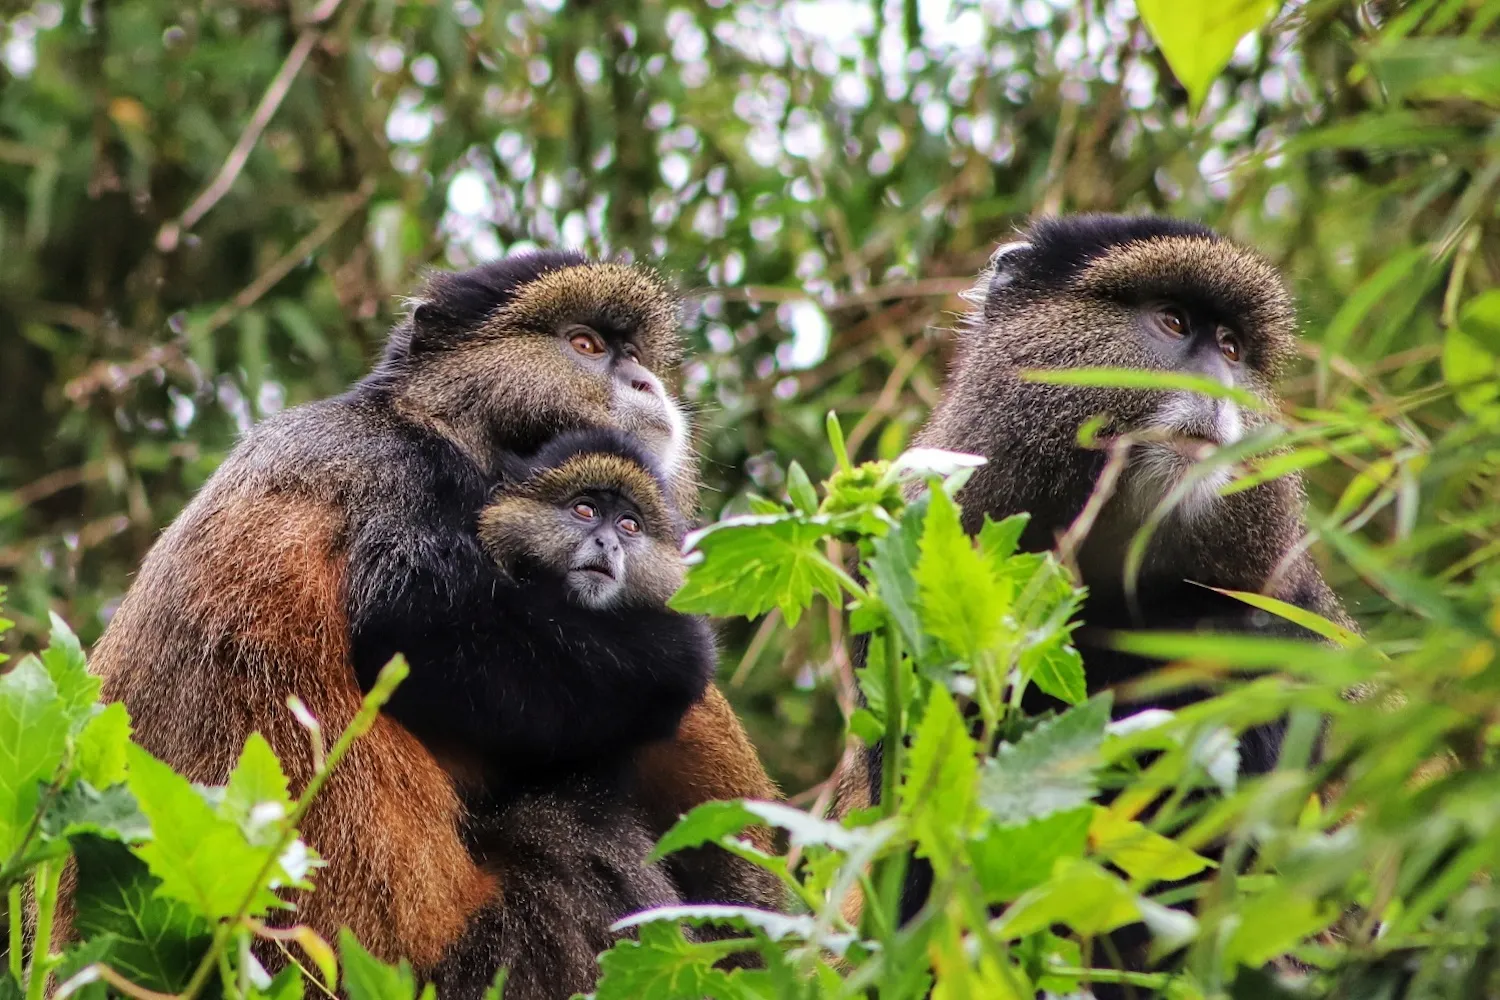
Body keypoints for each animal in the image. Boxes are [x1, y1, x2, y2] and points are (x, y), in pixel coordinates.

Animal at [73, 251, 780, 991]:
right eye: (586, 345)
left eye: (635, 355)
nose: (645, 382)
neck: (424, 416)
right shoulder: (400, 478)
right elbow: (418, 632)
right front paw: (686, 650)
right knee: (570, 825)